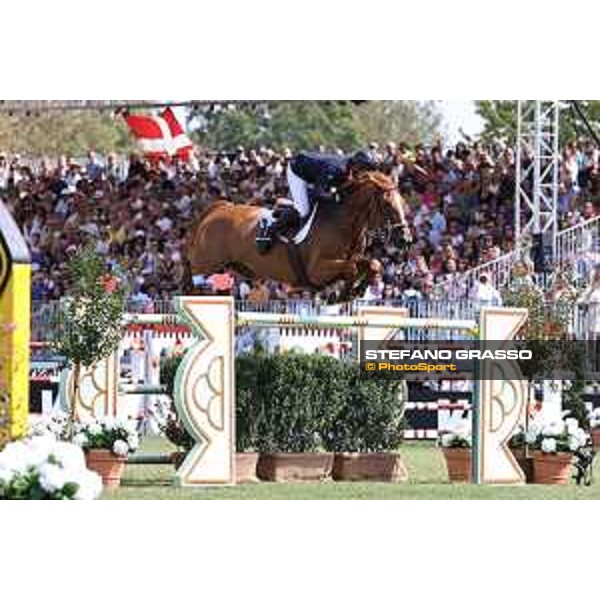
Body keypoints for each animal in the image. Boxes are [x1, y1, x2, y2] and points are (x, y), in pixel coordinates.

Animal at [186, 171, 412, 292]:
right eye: (387, 205)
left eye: (403, 202)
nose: (406, 239)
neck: (343, 222)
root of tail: (219, 208)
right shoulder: (317, 270)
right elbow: (351, 269)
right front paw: (343, 295)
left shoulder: (351, 259)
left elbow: (372, 264)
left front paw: (355, 291)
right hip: (206, 266)